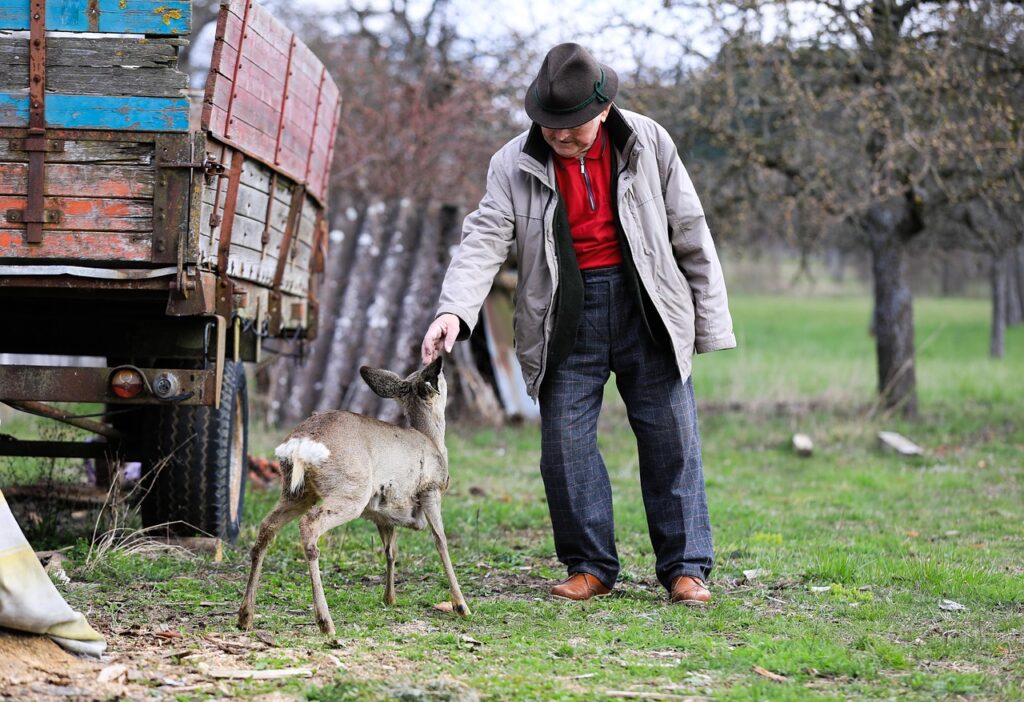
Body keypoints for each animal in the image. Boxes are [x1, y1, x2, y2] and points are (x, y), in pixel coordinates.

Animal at [237, 357, 469, 635]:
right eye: (441, 377)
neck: (432, 442)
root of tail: (301, 444)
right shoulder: (430, 489)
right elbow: (441, 541)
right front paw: (461, 605)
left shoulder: (383, 513)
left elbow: (390, 550)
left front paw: (390, 598)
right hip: (351, 491)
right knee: (309, 525)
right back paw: (325, 623)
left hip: (296, 492)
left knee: (266, 528)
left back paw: (245, 616)